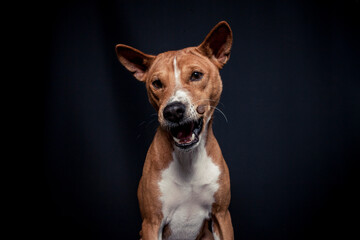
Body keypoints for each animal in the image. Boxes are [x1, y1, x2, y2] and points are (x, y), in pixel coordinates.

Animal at [115, 21, 233, 240]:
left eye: (196, 75)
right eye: (156, 83)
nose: (173, 111)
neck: (188, 159)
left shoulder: (222, 215)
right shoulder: (152, 223)